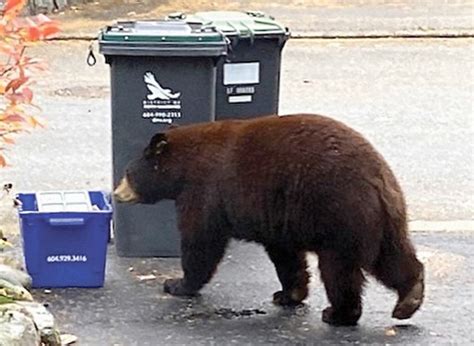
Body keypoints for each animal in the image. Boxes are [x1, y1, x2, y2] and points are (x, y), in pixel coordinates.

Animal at [115, 115, 426, 326]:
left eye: (127, 173)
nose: (117, 193)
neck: (183, 166)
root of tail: (378, 178)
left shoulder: (203, 190)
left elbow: (201, 240)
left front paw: (177, 284)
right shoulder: (277, 217)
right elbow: (286, 255)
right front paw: (288, 294)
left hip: (340, 215)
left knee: (339, 270)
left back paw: (338, 313)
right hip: (383, 220)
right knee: (391, 257)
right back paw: (410, 297)